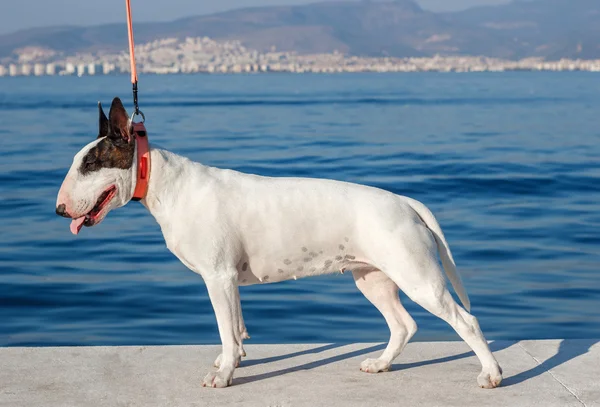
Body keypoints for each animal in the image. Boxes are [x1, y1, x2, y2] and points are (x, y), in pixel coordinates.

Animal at [58, 98, 504, 388]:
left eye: (90, 164)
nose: (61, 209)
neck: (165, 183)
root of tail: (405, 201)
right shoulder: (228, 281)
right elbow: (235, 328)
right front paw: (232, 361)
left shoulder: (218, 277)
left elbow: (225, 328)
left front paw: (222, 375)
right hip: (373, 277)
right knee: (403, 324)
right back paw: (380, 364)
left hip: (417, 276)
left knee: (466, 321)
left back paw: (491, 374)